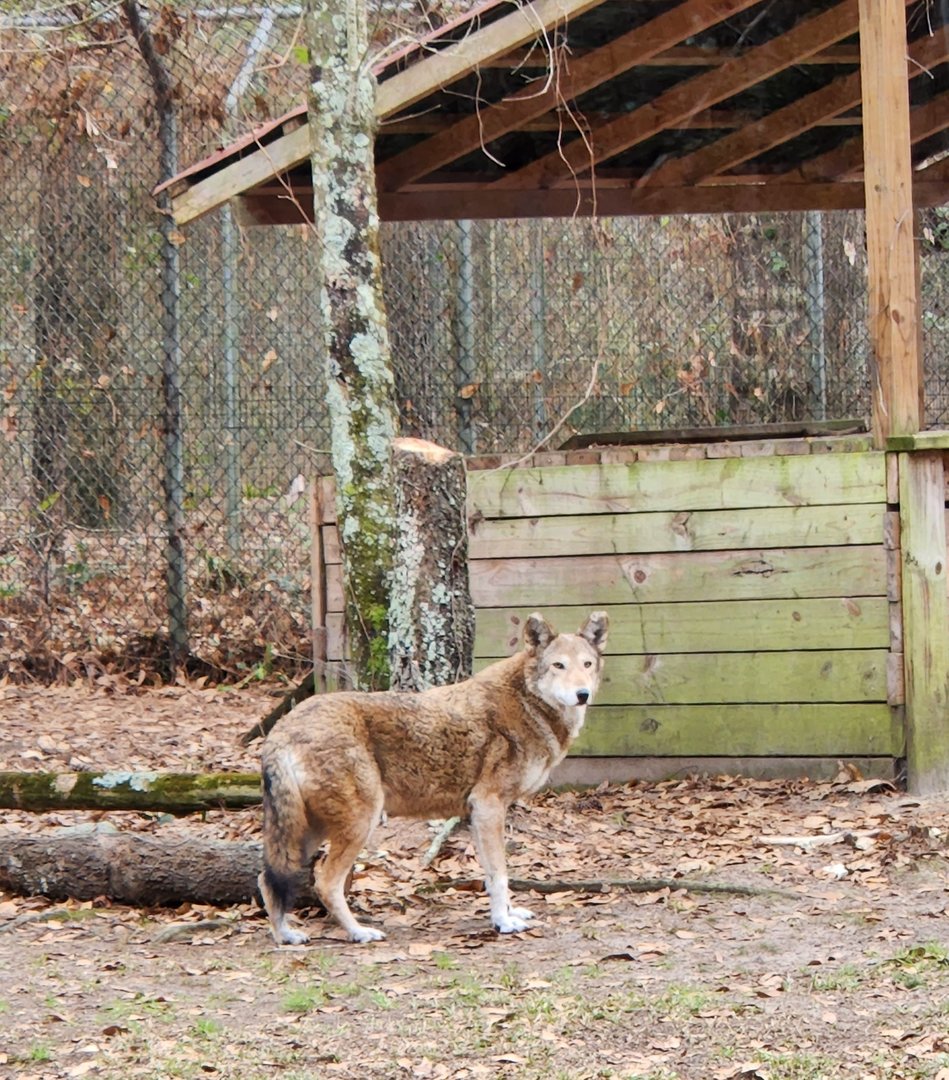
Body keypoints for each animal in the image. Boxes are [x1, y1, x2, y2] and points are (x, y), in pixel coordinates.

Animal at [258, 609, 609, 944]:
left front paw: (507, 914)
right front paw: (504, 923)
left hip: (308, 832)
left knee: (267, 878)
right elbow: (500, 874)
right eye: (558, 665)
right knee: (325, 883)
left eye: (587, 664)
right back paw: (359, 933)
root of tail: (281, 730)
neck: (526, 701)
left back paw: (285, 935)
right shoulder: (489, 807)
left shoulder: (478, 814)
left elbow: (491, 873)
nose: (582, 694)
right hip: (358, 824)